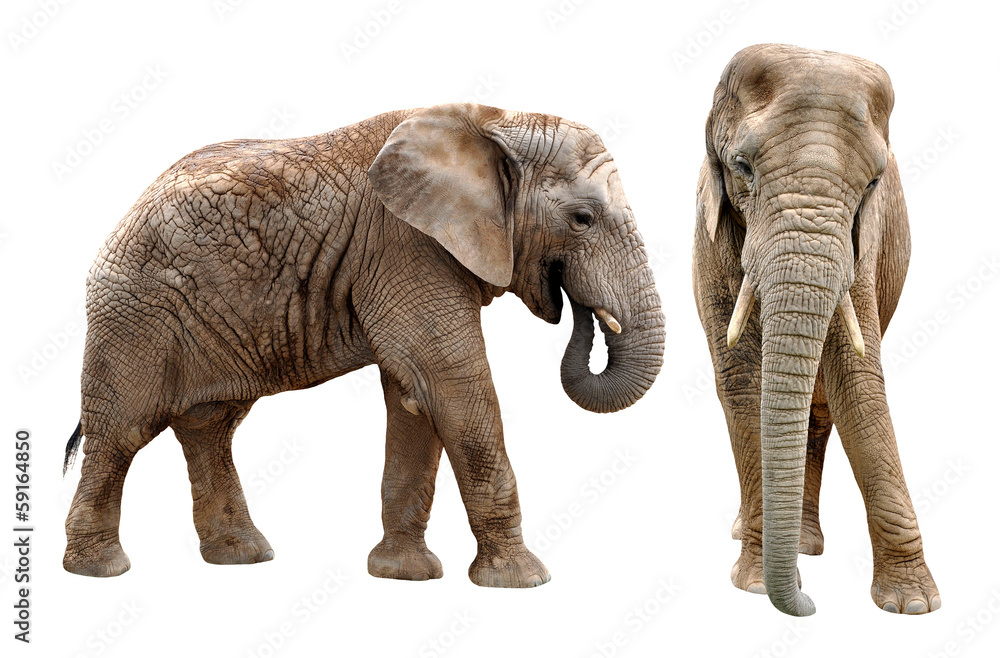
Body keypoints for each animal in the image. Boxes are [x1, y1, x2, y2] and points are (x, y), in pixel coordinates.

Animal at [62, 102, 665, 587]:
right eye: (582, 218)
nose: (577, 307)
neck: (495, 122)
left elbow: (413, 396)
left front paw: (401, 575)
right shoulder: (406, 245)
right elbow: (450, 384)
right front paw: (521, 581)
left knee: (211, 425)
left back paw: (242, 558)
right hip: (133, 311)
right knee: (122, 432)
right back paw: (99, 570)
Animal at [692, 45, 940, 616]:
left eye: (873, 184)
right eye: (742, 167)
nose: (808, 603)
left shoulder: (864, 243)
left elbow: (857, 381)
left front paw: (913, 605)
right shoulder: (710, 235)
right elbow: (742, 381)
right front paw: (755, 585)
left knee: (821, 407)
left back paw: (803, 544)